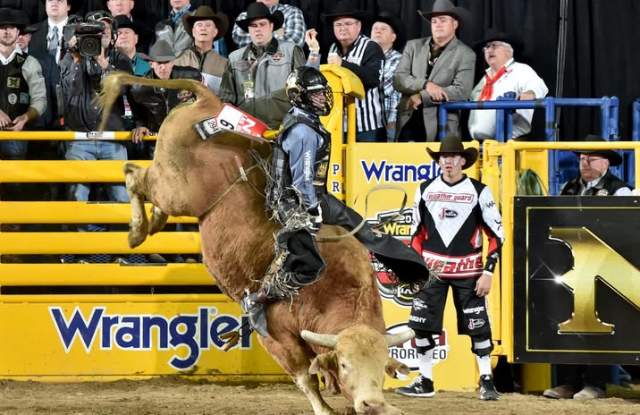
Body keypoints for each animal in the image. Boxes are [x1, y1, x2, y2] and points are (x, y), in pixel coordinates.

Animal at [99, 73, 414, 415]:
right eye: (345, 365)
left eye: (382, 367)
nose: (372, 403)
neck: (332, 289)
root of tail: (208, 99)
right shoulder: (276, 335)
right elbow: (306, 378)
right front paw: (324, 406)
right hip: (176, 189)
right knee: (134, 176)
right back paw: (136, 231)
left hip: (172, 188)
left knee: (143, 184)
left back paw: (152, 223)